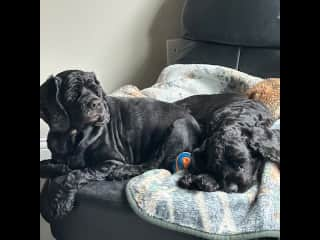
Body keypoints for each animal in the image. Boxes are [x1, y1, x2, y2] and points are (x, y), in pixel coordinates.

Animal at [40, 70, 200, 222]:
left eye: (96, 91)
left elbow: (77, 173)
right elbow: (45, 164)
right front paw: (58, 169)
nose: (97, 103)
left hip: (179, 126)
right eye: (72, 92)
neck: (73, 135)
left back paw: (122, 172)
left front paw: (60, 202)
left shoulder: (111, 161)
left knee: (153, 165)